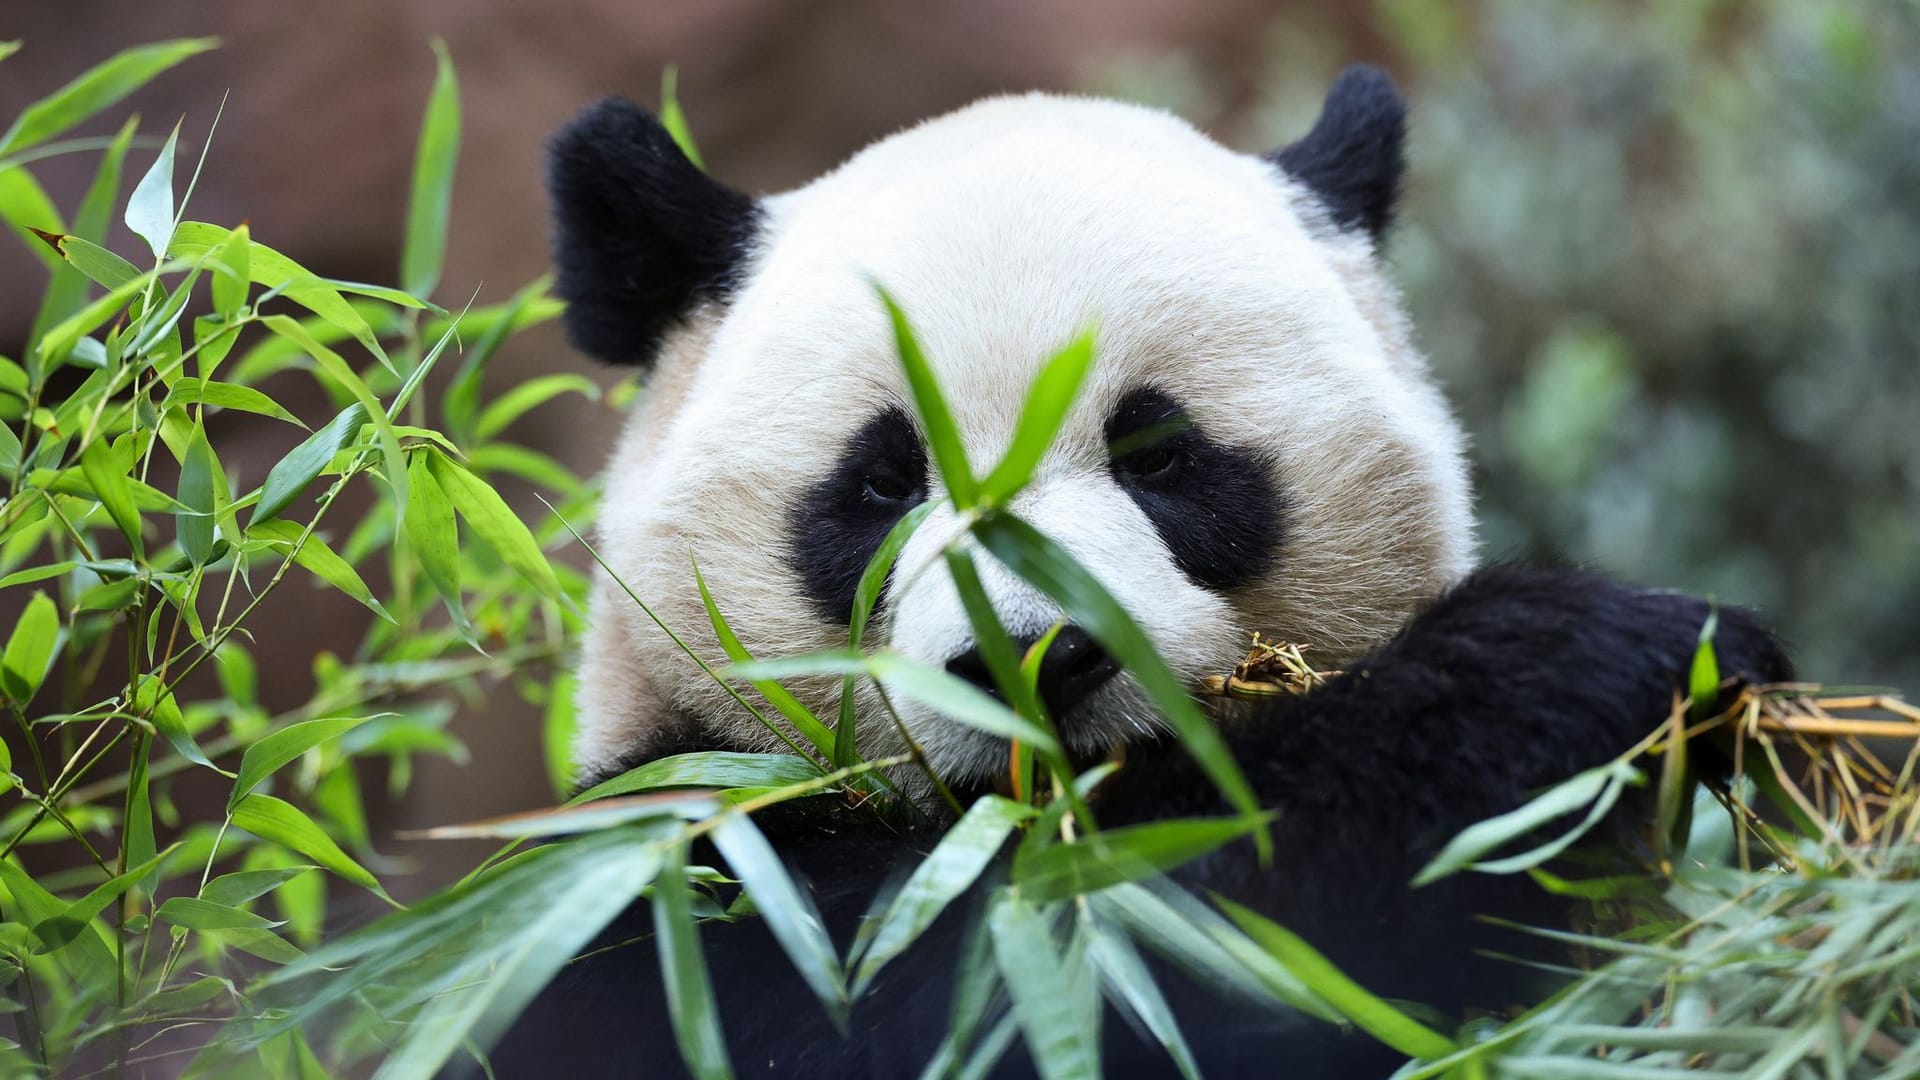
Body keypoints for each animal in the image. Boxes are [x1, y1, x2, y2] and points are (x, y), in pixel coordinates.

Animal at [487, 69, 1789, 1076]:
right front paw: (1580, 663)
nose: (1032, 656)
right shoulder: (657, 883)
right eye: (884, 482)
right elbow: (1027, 958)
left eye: (1157, 451)